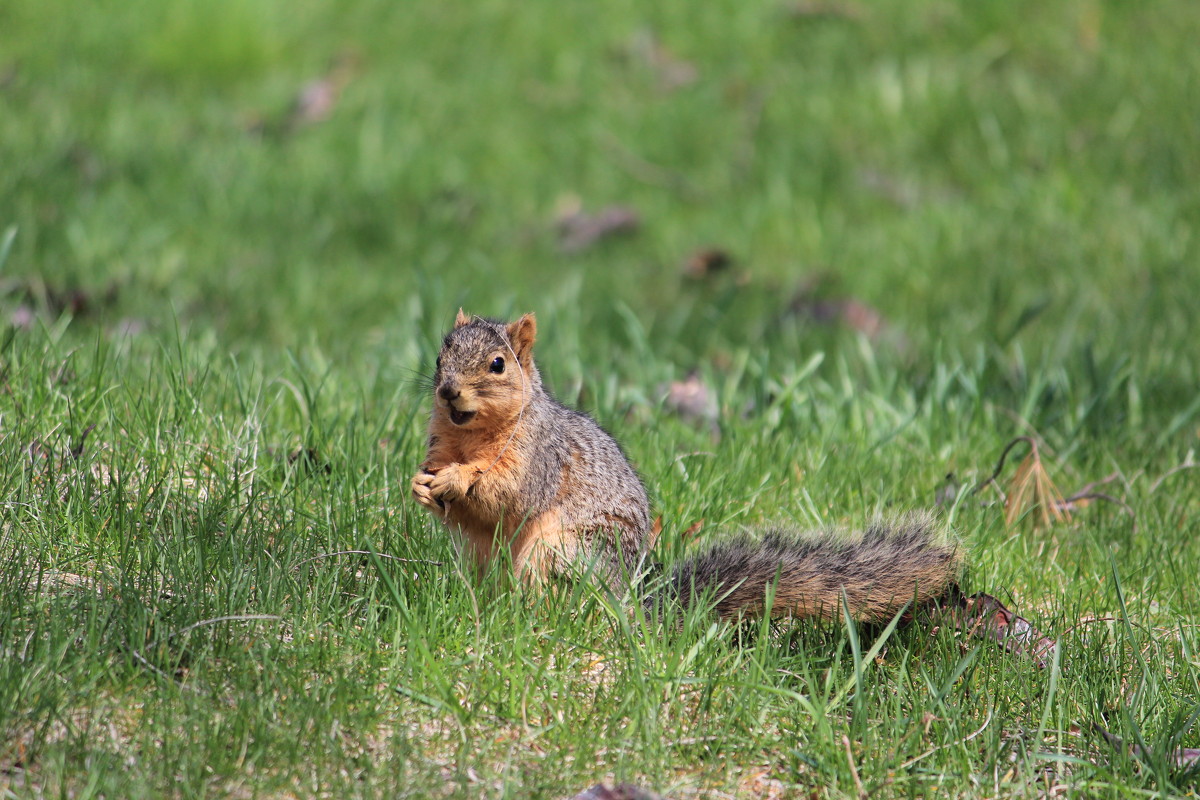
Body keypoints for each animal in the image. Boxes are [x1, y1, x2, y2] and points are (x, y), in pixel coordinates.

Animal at [417, 309, 960, 628]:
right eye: (443, 348)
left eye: (497, 364)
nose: (447, 391)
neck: (471, 436)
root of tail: (629, 601)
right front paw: (422, 485)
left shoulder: (537, 455)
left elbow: (509, 491)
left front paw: (458, 479)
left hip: (562, 553)